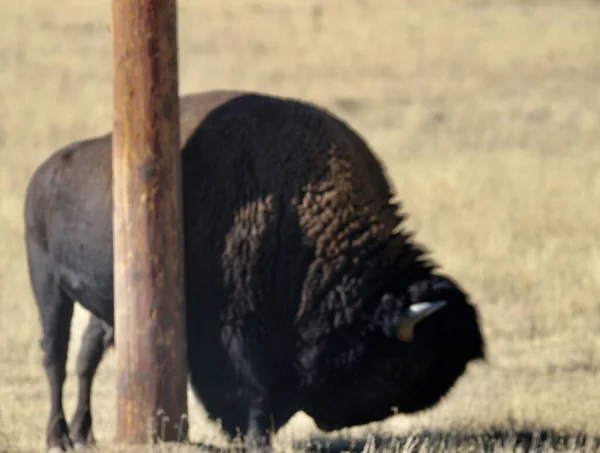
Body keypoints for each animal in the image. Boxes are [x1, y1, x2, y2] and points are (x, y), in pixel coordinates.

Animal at [23, 89, 486, 452]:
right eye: (399, 366)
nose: (336, 420)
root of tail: (42, 175)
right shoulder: (237, 326)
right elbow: (252, 385)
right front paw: (256, 439)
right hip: (48, 287)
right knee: (55, 357)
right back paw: (58, 437)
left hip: (107, 307)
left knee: (87, 358)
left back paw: (85, 435)